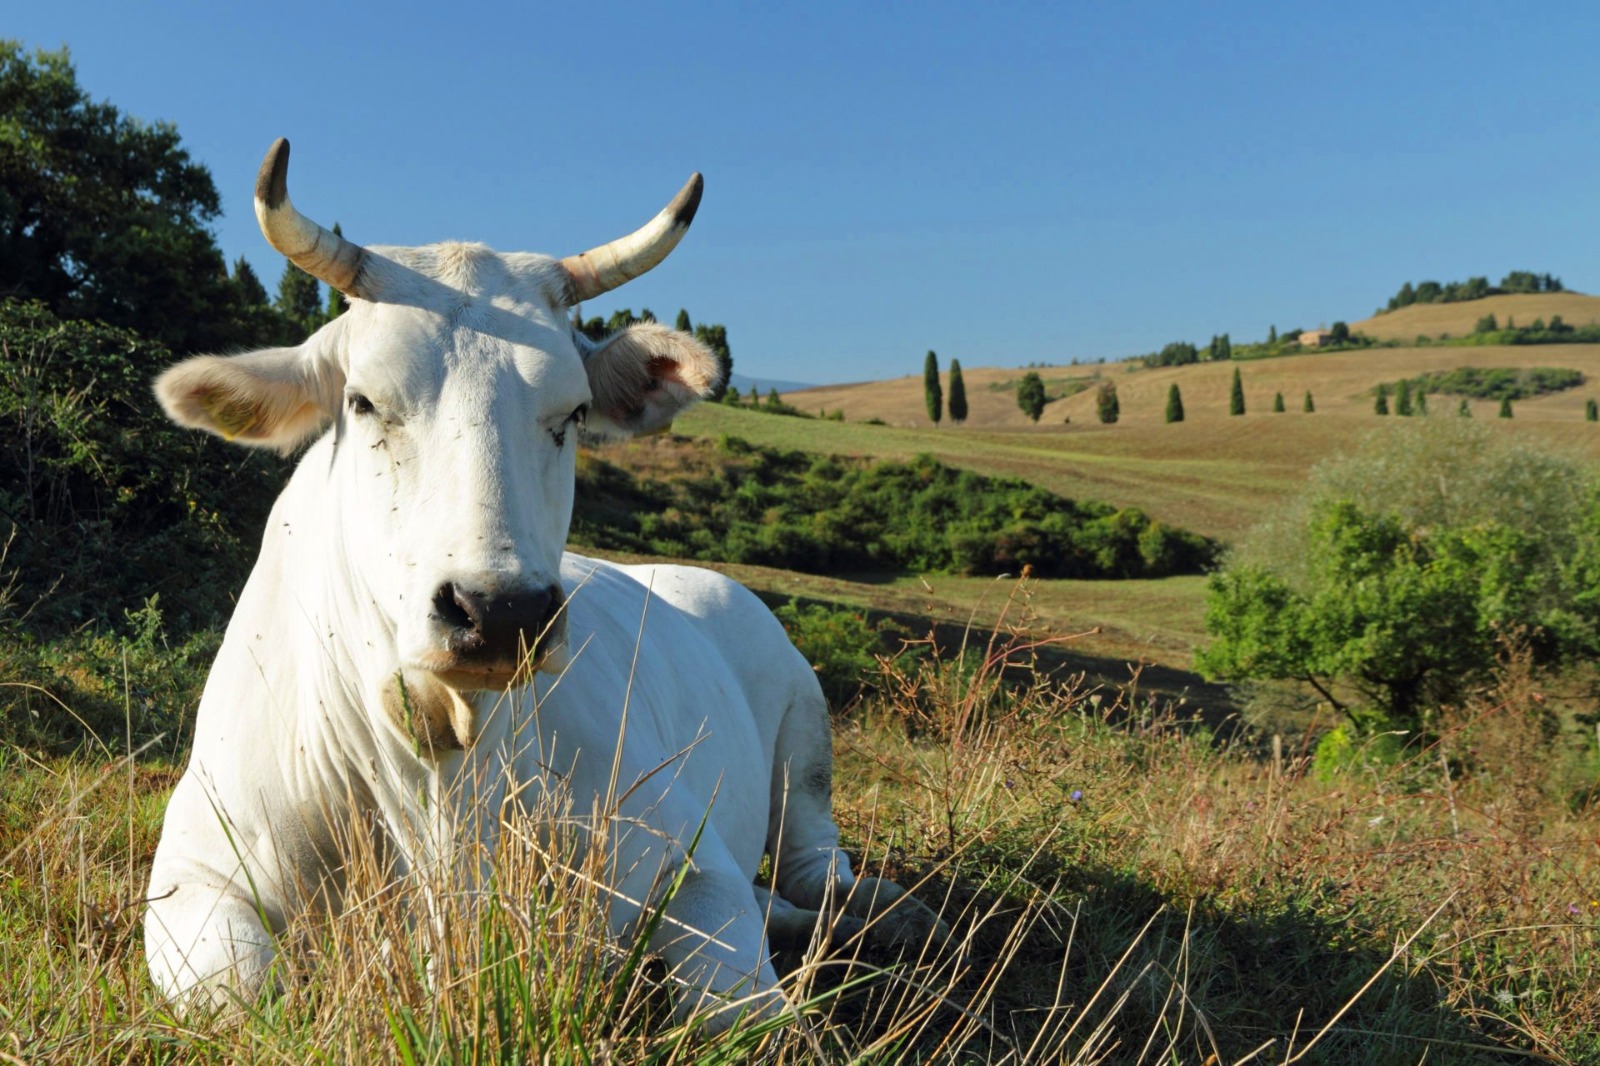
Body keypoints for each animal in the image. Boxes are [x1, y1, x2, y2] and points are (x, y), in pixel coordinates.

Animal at [144, 136, 940, 1024]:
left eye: (572, 413)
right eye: (363, 401)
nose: (500, 611)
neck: (437, 757)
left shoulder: (686, 856)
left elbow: (741, 1012)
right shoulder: (192, 879)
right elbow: (245, 998)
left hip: (806, 732)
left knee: (814, 864)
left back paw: (887, 913)